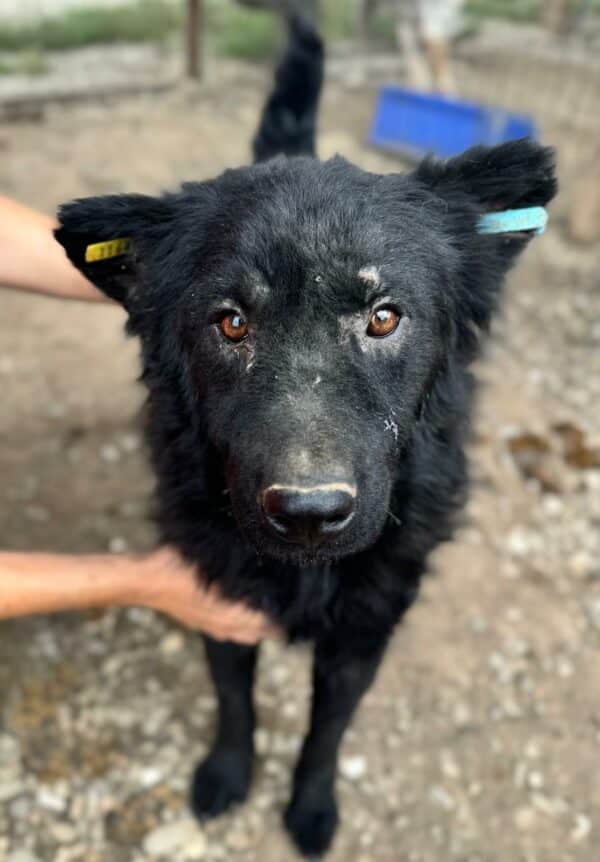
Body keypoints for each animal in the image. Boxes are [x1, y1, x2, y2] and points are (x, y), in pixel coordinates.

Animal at [56, 13, 556, 856]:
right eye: (231, 323)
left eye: (383, 317)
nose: (311, 514)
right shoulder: (219, 601)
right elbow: (234, 703)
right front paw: (226, 776)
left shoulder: (365, 631)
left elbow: (327, 733)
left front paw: (312, 808)